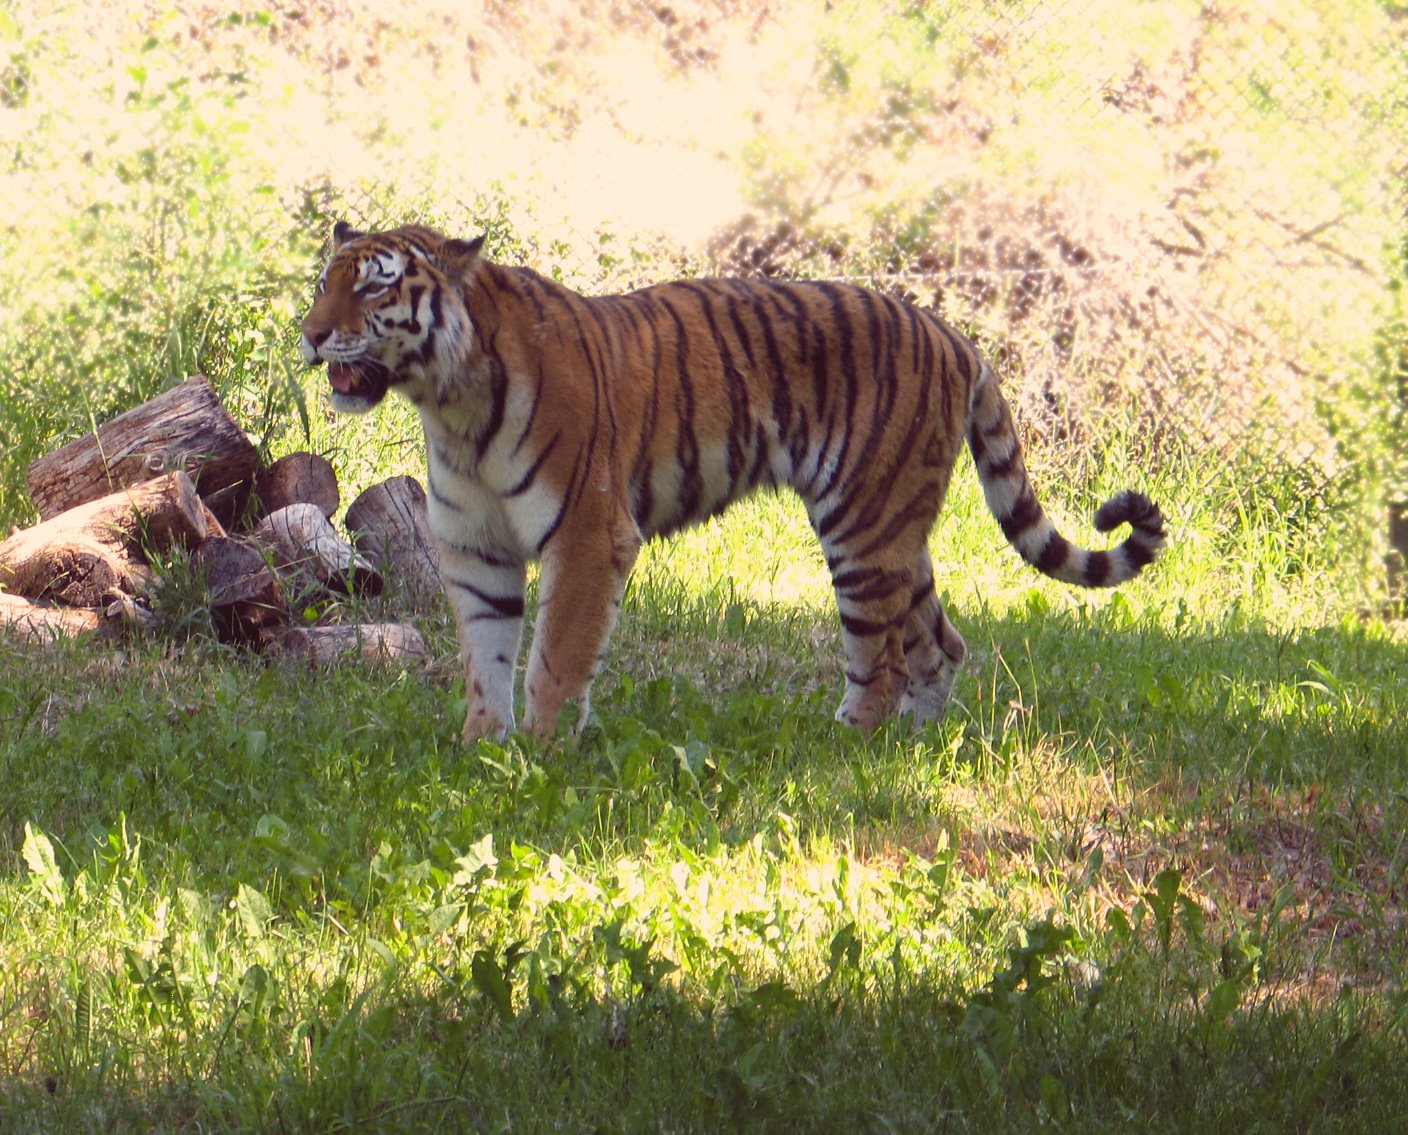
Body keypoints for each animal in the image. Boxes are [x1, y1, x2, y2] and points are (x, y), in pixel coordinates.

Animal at [299, 222, 1165, 744]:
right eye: (322, 284)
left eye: (374, 286)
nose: (307, 334)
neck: (449, 402)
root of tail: (953, 333)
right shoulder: (477, 549)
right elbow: (486, 656)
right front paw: (483, 752)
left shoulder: (588, 537)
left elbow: (555, 657)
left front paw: (542, 755)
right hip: (896, 528)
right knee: (939, 642)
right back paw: (916, 745)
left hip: (862, 526)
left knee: (881, 654)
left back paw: (847, 745)